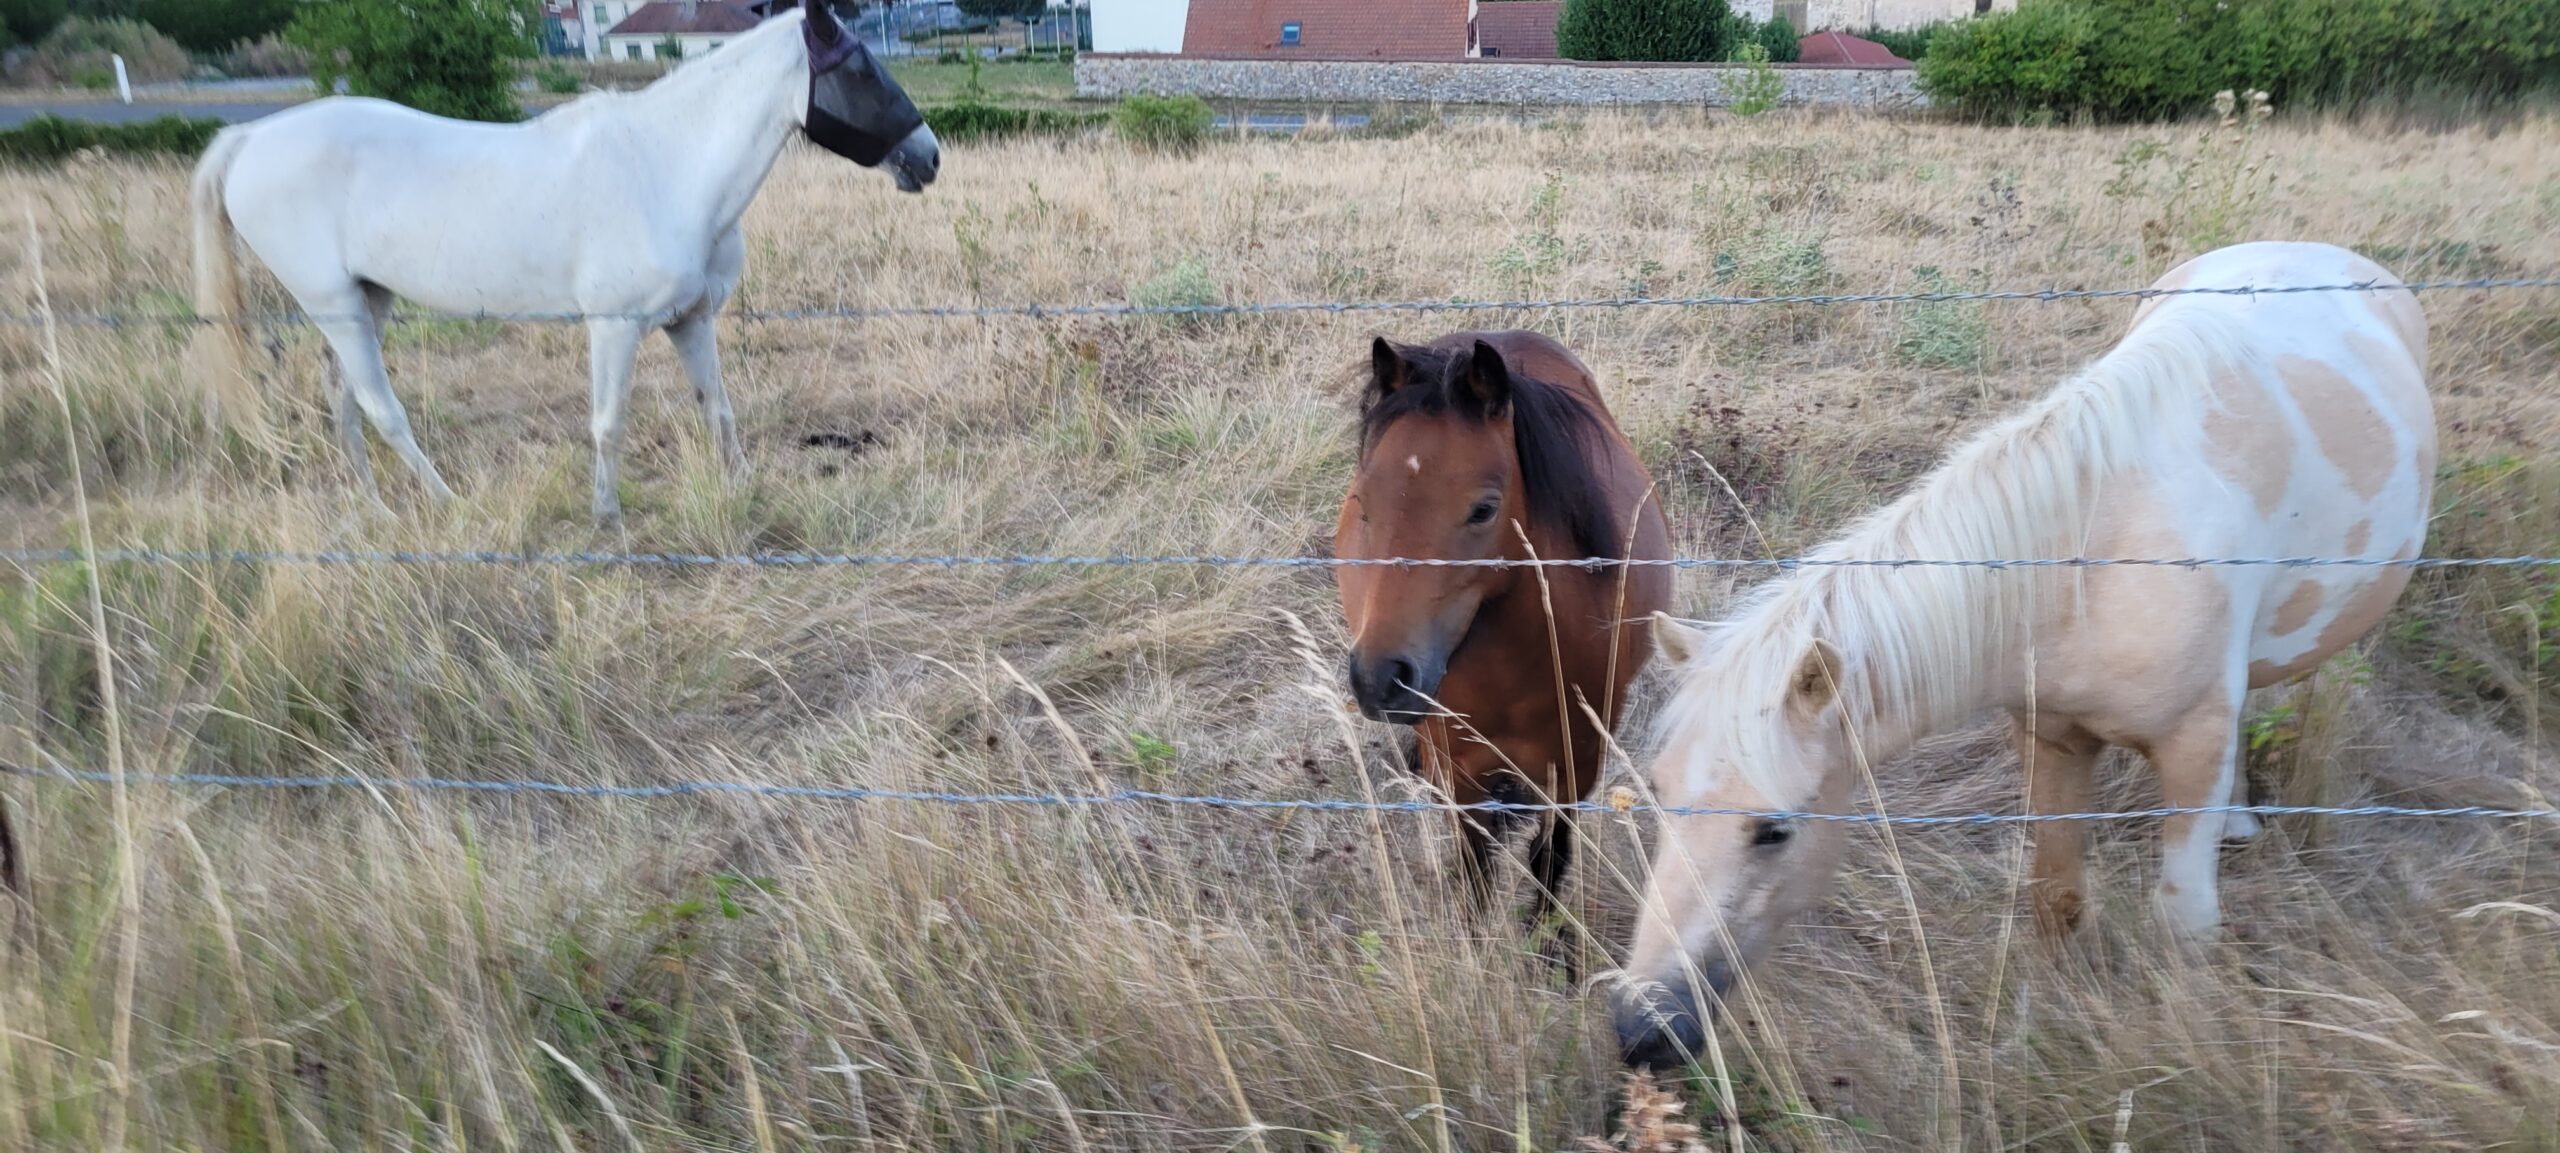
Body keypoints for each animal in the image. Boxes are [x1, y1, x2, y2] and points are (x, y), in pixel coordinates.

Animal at [189, 0, 936, 522]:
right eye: (862, 69)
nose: (928, 158)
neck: (668, 167)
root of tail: (250, 138)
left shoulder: (690, 321)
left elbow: (717, 409)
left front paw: (742, 488)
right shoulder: (612, 327)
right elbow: (609, 424)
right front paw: (607, 515)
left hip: (367, 299)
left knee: (342, 401)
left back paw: (376, 508)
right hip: (336, 305)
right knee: (380, 407)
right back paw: (446, 503)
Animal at [1341, 333, 1679, 927]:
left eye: (1484, 510)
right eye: (1363, 503)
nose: (1381, 680)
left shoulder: (1573, 769)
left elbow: (1549, 860)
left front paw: (1546, 944)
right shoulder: (1461, 772)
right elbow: (1475, 871)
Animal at [1607, 243, 2426, 1071]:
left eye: (1772, 830)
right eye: (1658, 794)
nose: (1644, 1028)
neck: (2094, 565)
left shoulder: (2191, 746)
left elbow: (2184, 922)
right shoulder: (2052, 737)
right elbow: (2056, 896)